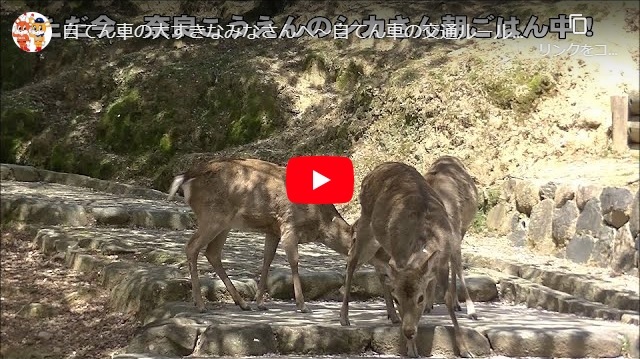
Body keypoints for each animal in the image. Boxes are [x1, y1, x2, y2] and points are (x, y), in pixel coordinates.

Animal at [166, 158, 400, 318]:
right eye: (373, 245)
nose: (385, 260)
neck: (319, 222)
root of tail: (186, 178)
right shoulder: (288, 224)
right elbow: (294, 262)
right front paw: (302, 305)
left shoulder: (272, 230)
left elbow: (267, 261)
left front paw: (260, 302)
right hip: (212, 216)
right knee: (192, 247)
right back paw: (200, 304)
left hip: (224, 222)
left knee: (212, 253)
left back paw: (242, 303)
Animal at [340, 162, 470, 358]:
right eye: (397, 298)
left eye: (421, 298)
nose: (408, 331)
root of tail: (374, 170)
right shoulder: (399, 258)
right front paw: (411, 349)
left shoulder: (441, 263)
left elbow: (447, 298)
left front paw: (464, 349)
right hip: (367, 224)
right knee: (352, 260)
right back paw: (344, 318)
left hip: (383, 244)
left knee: (378, 267)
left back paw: (393, 317)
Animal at [422, 155, 478, 320]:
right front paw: (427, 304)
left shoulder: (455, 230)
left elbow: (458, 267)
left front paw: (472, 311)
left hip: (463, 228)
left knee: (454, 263)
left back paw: (456, 303)